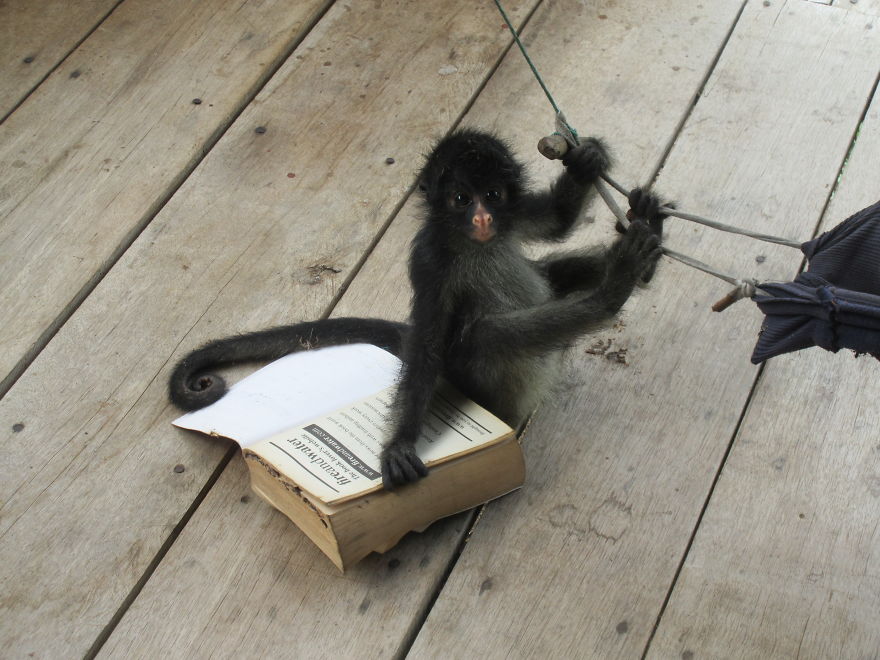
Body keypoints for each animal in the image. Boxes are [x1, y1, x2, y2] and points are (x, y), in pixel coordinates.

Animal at [169, 129, 666, 488]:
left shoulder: (514, 215)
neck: (469, 242)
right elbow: (427, 347)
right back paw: (613, 290)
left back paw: (642, 255)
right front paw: (399, 446)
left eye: (492, 195)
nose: (483, 218)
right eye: (461, 199)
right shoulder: (430, 257)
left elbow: (558, 222)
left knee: (556, 272)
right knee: (485, 334)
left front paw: (588, 160)